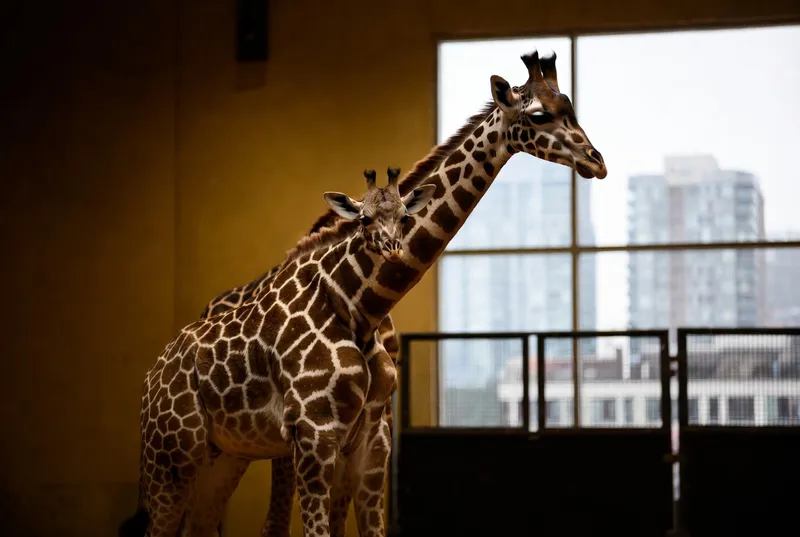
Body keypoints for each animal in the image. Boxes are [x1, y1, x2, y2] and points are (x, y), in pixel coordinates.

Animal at [127, 48, 607, 537]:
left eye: (570, 105)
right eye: (540, 113)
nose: (596, 161)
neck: (361, 306)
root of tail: (152, 374)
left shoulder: (373, 436)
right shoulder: (313, 433)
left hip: (223, 454)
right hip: (173, 454)